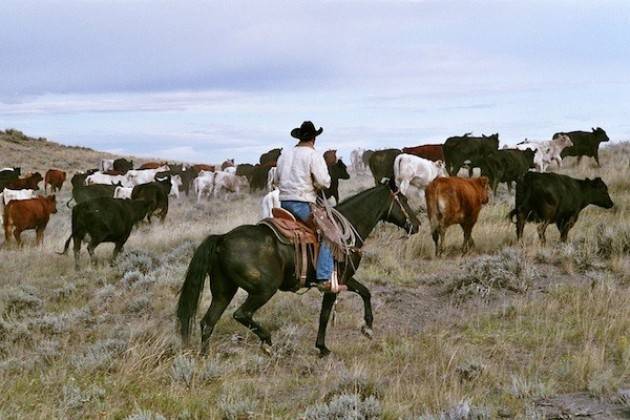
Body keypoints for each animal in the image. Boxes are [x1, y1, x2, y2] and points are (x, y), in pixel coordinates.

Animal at [177, 182, 420, 356]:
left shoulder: (344, 279)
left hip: (223, 290)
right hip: (263, 289)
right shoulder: (332, 284)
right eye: (404, 200)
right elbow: (324, 315)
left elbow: (366, 292)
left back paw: (204, 358)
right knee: (241, 314)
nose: (416, 225)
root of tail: (222, 239)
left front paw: (367, 328)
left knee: (208, 322)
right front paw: (322, 347)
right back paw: (267, 342)